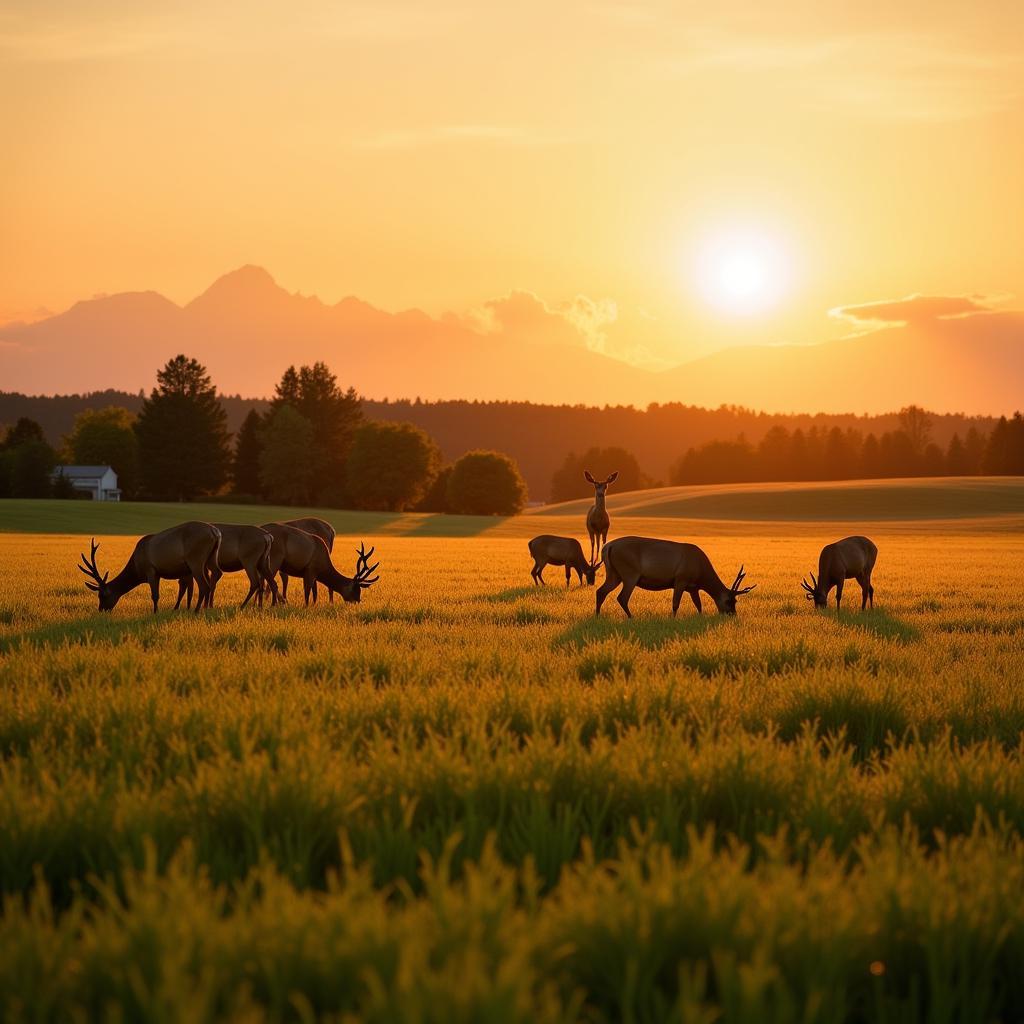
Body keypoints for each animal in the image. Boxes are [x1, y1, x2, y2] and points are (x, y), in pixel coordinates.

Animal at [79, 524, 222, 610]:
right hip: (210, 558)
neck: (137, 569)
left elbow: (155, 595)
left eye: (103, 595)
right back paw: (205, 608)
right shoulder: (161, 573)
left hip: (196, 559)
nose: (101, 610)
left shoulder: (151, 570)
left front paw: (155, 613)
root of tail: (215, 532)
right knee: (215, 575)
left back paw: (197, 611)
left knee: (204, 585)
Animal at [598, 536, 757, 614]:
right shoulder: (681, 579)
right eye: (730, 601)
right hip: (630, 573)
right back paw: (631, 618)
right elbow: (675, 604)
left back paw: (597, 616)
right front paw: (673, 618)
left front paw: (700, 617)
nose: (732, 615)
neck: (701, 572)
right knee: (622, 597)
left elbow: (698, 605)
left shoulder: (693, 587)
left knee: (601, 591)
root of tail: (608, 547)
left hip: (613, 574)